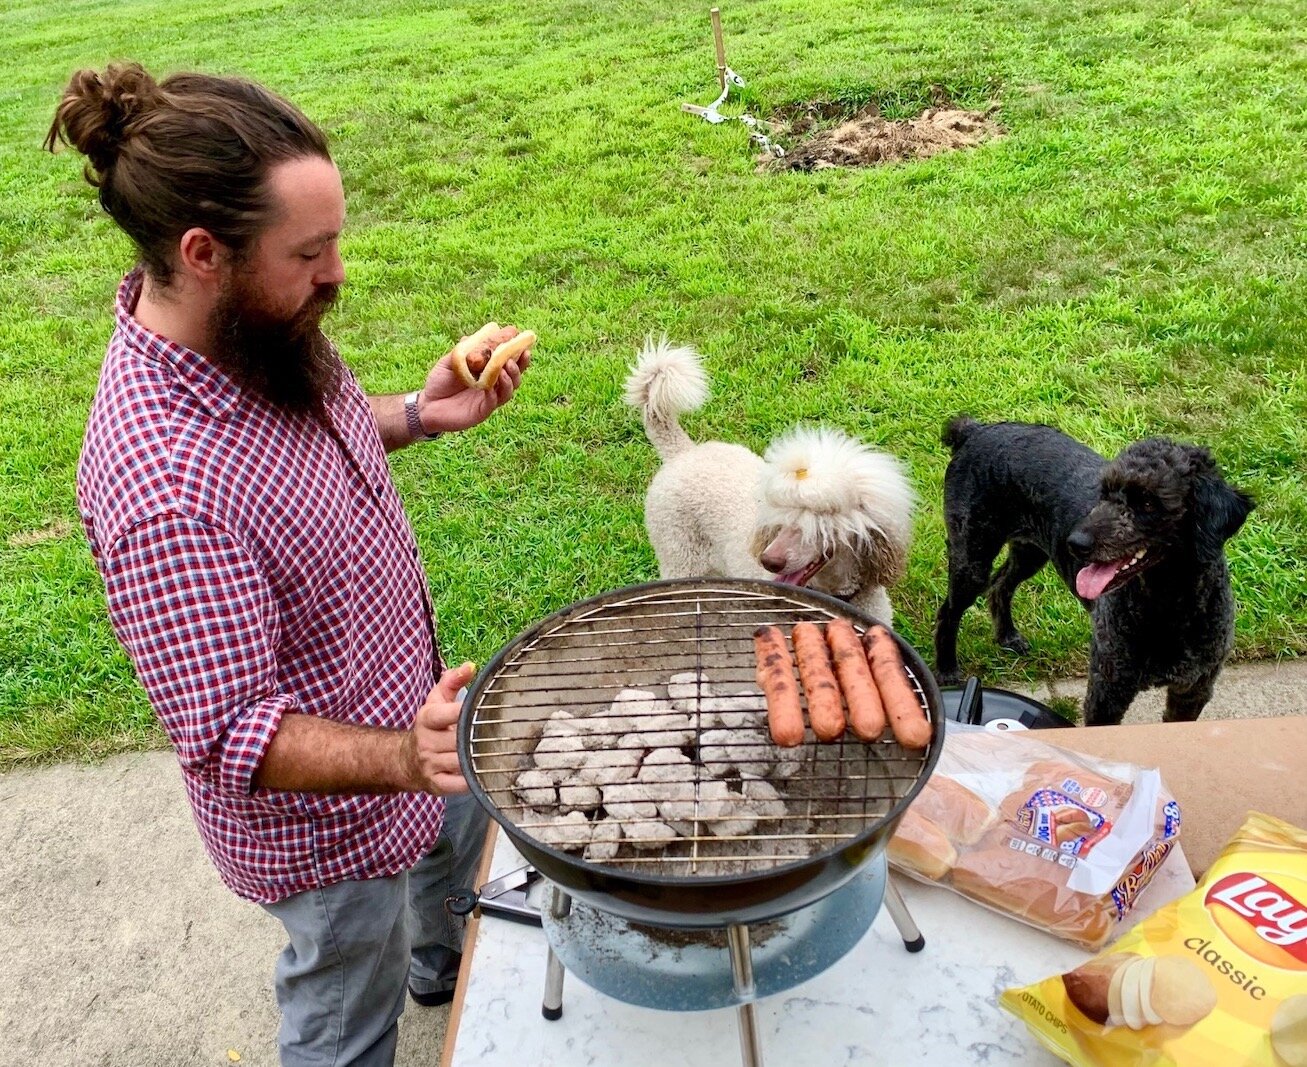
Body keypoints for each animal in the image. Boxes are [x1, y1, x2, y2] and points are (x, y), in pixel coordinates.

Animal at [930, 415, 1254, 727]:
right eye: (1105, 492)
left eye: (1149, 502)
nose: (1076, 542)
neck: (1170, 606)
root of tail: (974, 430)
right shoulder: (1107, 689)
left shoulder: (1192, 690)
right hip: (972, 555)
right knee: (949, 610)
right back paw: (947, 669)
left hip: (1030, 552)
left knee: (1000, 585)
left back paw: (1007, 635)